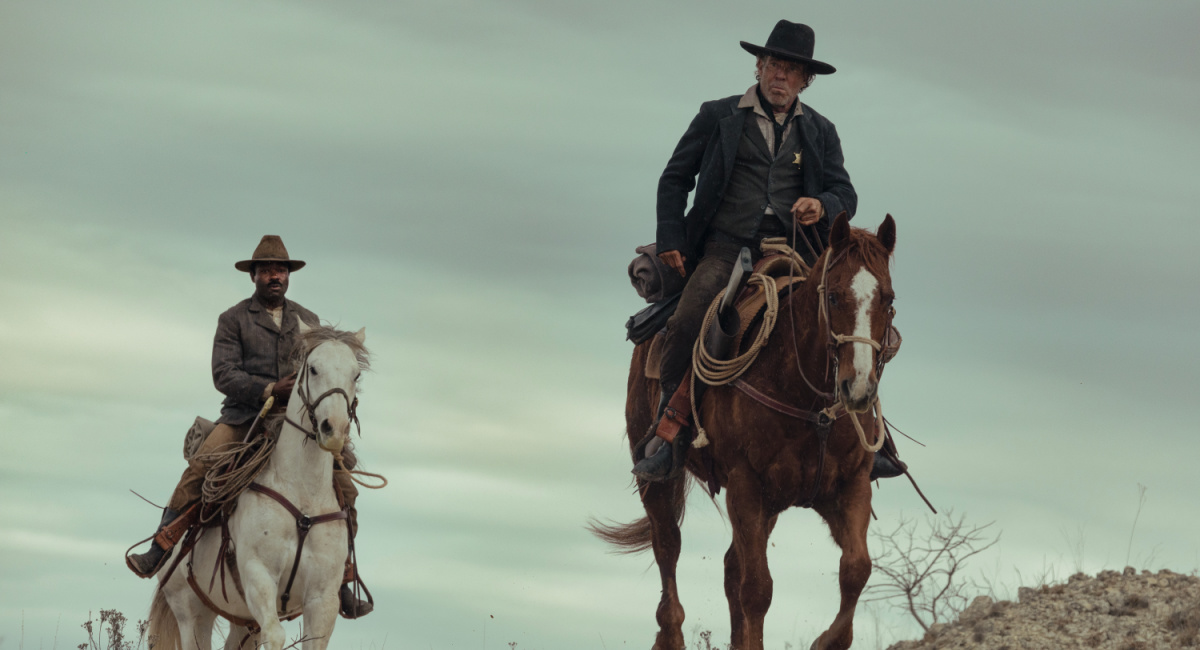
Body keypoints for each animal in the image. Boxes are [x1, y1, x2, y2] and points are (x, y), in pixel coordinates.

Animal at [148, 321, 367, 650]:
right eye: (313, 368)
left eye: (356, 374)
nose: (334, 429)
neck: (302, 494)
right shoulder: (258, 576)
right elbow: (274, 635)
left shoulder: (323, 597)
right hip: (191, 612)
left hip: (242, 621)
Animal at [595, 215, 897, 650]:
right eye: (836, 297)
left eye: (887, 299)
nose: (858, 389)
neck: (807, 400)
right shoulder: (745, 484)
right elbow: (757, 588)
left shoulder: (848, 485)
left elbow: (856, 570)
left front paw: (827, 640)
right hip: (657, 479)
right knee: (668, 548)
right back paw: (670, 633)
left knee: (728, 567)